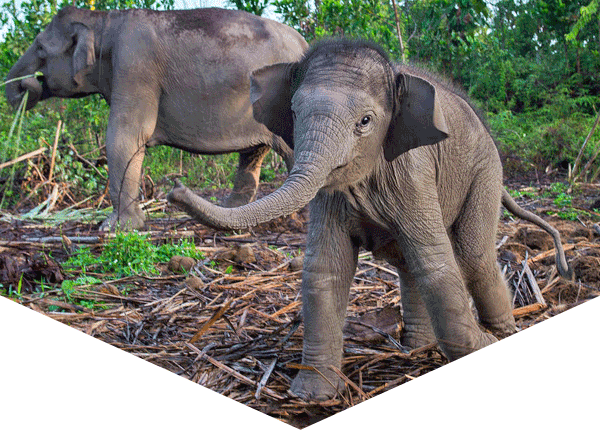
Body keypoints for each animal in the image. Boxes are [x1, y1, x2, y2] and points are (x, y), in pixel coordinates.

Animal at [7, 5, 310, 228]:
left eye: (41, 48)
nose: (25, 84)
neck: (105, 22)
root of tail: (304, 42)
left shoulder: (134, 66)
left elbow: (124, 137)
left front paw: (117, 228)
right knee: (252, 153)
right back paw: (232, 211)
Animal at [169, 39, 572, 400]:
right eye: (295, 115)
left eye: (365, 121)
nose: (174, 189)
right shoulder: (331, 195)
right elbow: (326, 268)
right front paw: (312, 396)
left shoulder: (413, 171)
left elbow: (437, 262)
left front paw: (483, 344)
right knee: (411, 264)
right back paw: (416, 349)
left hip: (486, 170)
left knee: (472, 255)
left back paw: (502, 331)